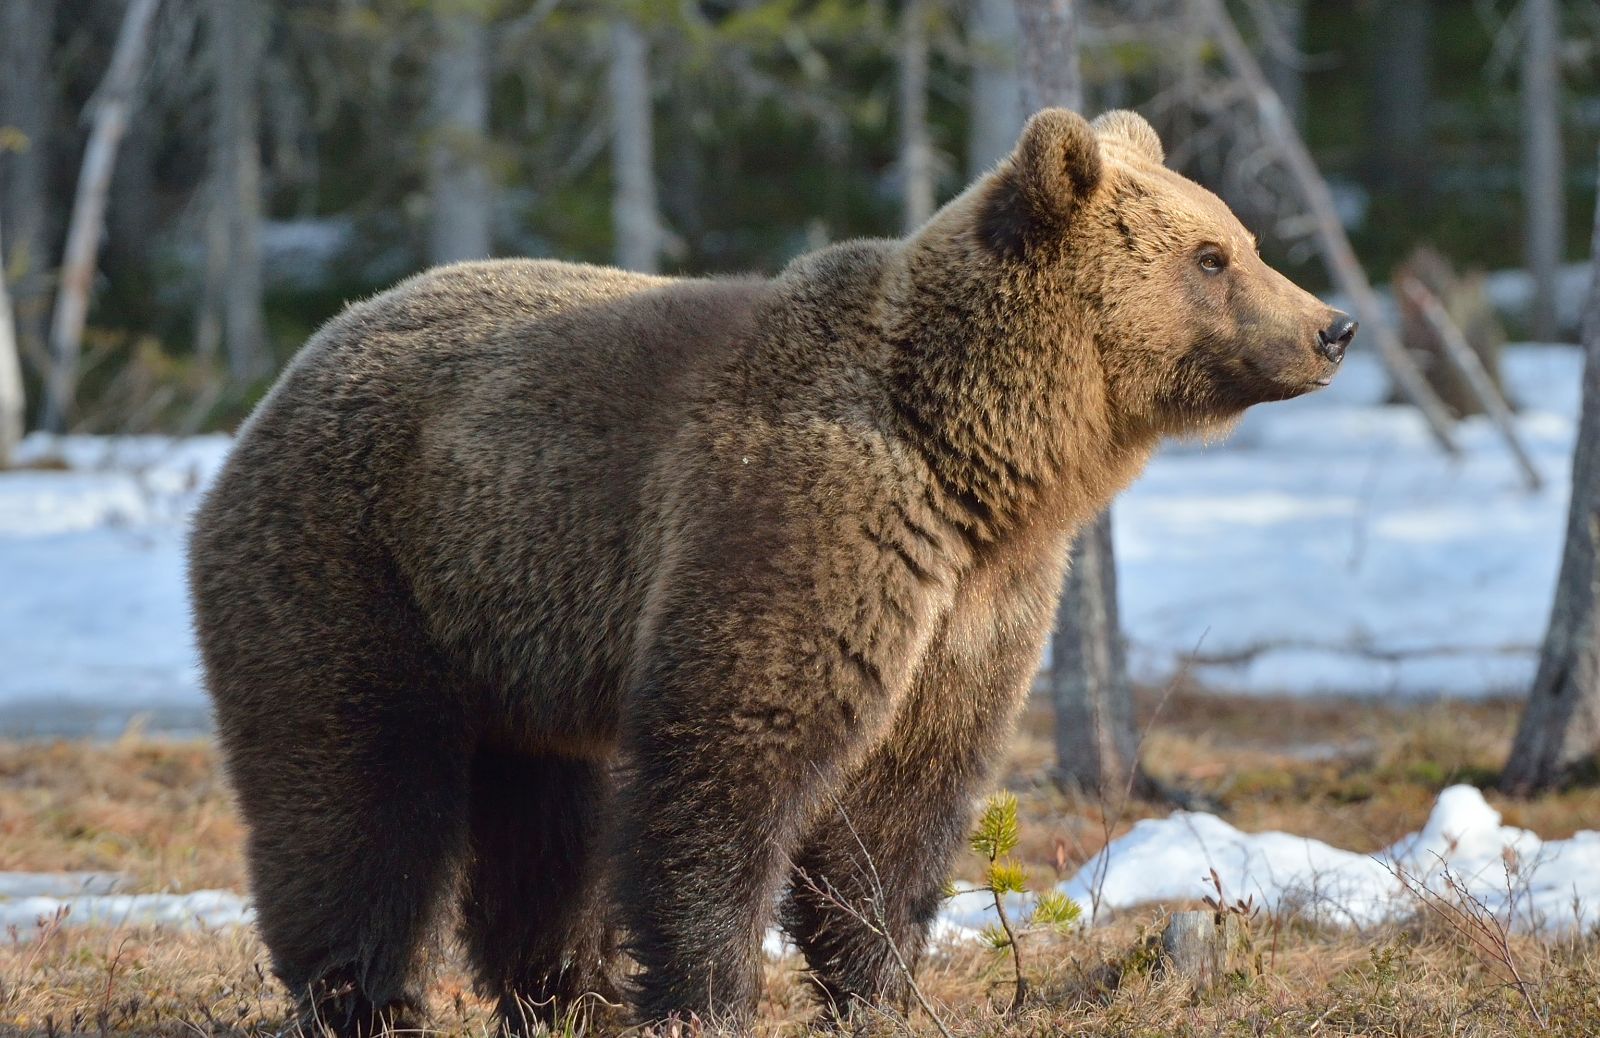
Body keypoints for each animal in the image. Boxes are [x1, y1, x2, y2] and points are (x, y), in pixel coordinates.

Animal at [193, 109, 1356, 1030]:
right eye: (1211, 256)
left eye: (1242, 239)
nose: (1332, 327)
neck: (973, 457)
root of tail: (300, 364)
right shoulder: (803, 522)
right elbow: (732, 759)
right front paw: (709, 992)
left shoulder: (976, 603)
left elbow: (903, 801)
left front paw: (877, 987)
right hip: (361, 567)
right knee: (354, 787)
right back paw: (363, 995)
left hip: (517, 637)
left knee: (543, 826)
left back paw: (571, 994)